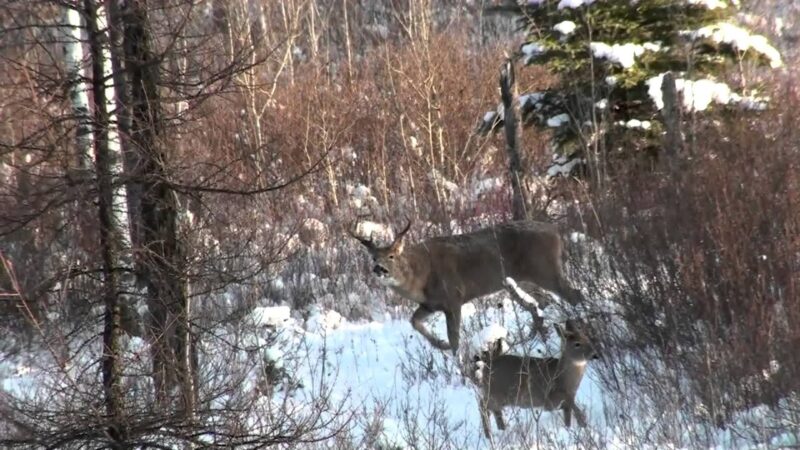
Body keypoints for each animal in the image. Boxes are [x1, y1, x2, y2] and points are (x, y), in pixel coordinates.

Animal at [346, 220, 584, 354]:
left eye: (392, 256)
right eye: (373, 257)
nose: (379, 269)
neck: (420, 278)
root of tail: (556, 232)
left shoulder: (453, 297)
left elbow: (455, 337)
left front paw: (456, 361)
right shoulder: (431, 304)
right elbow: (414, 321)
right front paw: (440, 344)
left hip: (545, 269)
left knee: (574, 295)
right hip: (520, 280)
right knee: (540, 303)